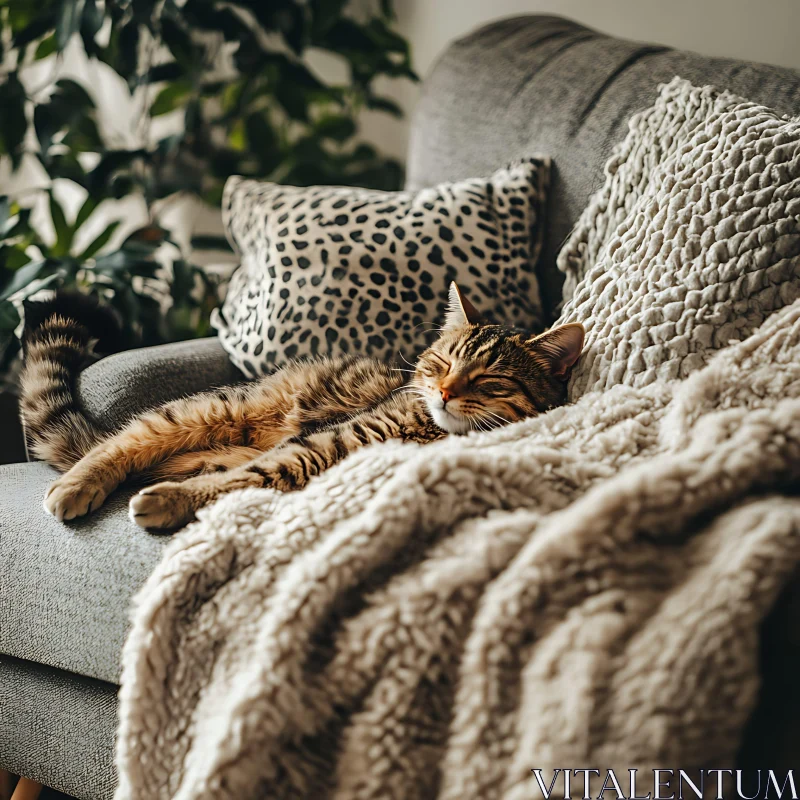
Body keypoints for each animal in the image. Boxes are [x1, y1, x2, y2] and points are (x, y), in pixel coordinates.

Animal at [21, 282, 584, 532]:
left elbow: (252, 477)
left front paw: (178, 499)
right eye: (440, 363)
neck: (431, 431)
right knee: (121, 440)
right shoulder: (334, 438)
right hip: (213, 409)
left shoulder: (310, 455)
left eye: (488, 379)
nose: (444, 393)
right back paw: (77, 484)